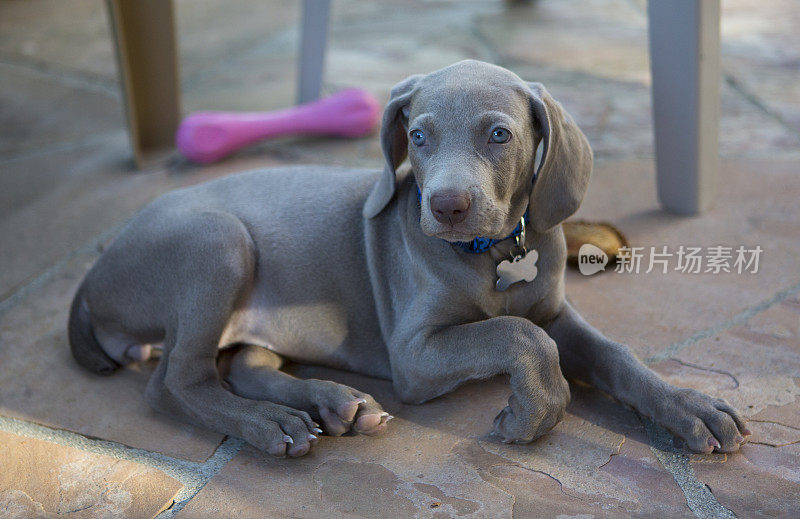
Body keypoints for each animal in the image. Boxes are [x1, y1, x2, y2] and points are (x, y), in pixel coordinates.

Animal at [70, 60, 752, 460]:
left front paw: (688, 406)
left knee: (241, 363)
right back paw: (271, 425)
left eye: (499, 135)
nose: (446, 207)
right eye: (418, 136)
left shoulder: (556, 311)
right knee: (174, 382)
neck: (492, 253)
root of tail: (92, 273)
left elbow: (610, 352)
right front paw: (535, 412)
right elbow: (518, 334)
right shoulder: (414, 354)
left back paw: (332, 404)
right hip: (218, 242)